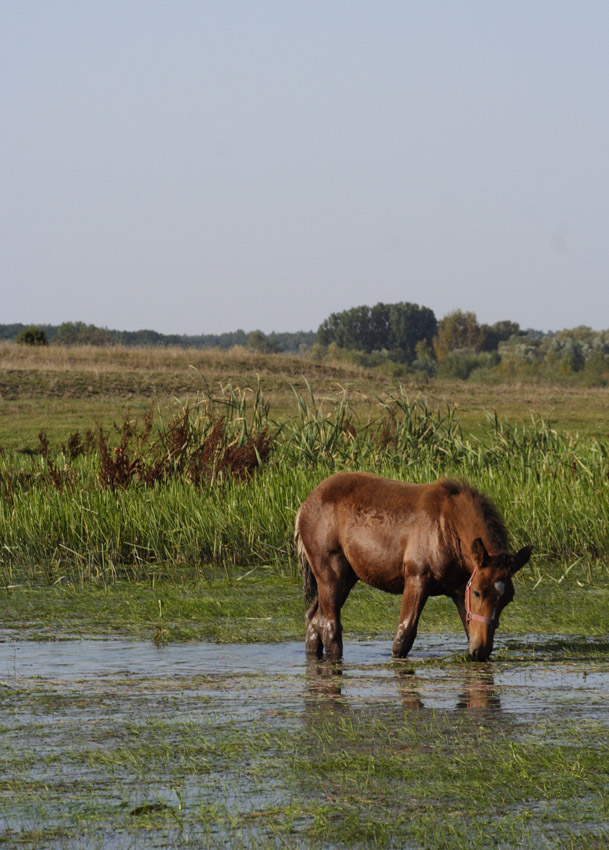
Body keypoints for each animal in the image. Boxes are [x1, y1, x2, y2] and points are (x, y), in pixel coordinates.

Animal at [292, 474, 528, 660]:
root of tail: (303, 507)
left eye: (508, 599)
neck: (449, 529)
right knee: (330, 626)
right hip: (330, 573)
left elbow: (469, 631)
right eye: (478, 592)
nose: (482, 650)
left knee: (313, 619)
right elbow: (404, 636)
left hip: (348, 577)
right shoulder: (417, 578)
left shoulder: (459, 590)